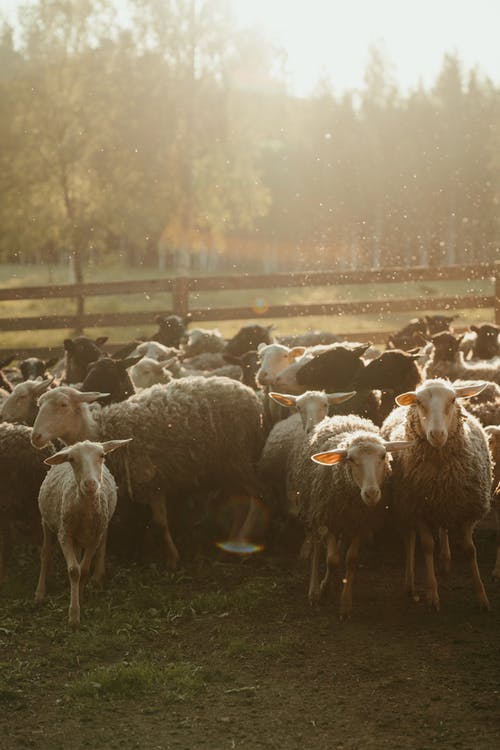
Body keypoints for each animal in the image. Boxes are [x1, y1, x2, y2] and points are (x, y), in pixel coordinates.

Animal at [30, 378, 266, 568]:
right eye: (39, 405)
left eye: (63, 405)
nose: (36, 437)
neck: (100, 431)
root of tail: (249, 392)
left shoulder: (151, 482)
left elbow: (160, 523)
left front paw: (172, 558)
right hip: (226, 466)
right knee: (239, 504)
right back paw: (231, 546)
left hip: (238, 458)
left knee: (257, 498)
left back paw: (243, 543)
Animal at [36, 440, 132, 628]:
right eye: (72, 459)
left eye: (102, 455)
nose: (90, 484)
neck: (86, 511)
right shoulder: (64, 534)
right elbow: (74, 570)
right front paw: (74, 616)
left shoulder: (94, 537)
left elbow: (84, 570)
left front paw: (80, 598)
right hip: (47, 522)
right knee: (45, 555)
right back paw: (40, 593)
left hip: (98, 530)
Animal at [292, 418, 412, 616]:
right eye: (350, 459)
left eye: (383, 456)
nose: (371, 494)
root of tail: (344, 416)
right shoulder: (328, 519)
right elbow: (331, 559)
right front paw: (324, 589)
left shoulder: (360, 523)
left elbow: (351, 560)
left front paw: (345, 603)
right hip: (316, 511)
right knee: (317, 547)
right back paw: (314, 591)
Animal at [382, 378, 492, 612]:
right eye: (419, 403)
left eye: (452, 400)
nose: (438, 434)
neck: (442, 475)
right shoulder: (418, 509)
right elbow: (427, 546)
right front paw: (432, 594)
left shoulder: (466, 509)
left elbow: (470, 549)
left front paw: (481, 596)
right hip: (406, 506)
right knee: (410, 539)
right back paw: (410, 584)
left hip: (443, 506)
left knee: (443, 529)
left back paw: (446, 561)